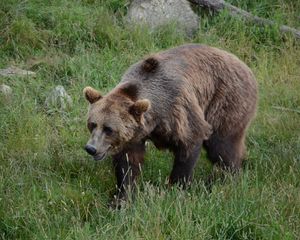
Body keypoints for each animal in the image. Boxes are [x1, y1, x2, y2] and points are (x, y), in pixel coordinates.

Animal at [82, 44, 258, 202]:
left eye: (109, 129)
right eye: (92, 124)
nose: (91, 148)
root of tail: (246, 66)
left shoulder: (178, 110)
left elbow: (189, 144)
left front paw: (176, 189)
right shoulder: (134, 135)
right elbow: (128, 162)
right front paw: (122, 197)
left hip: (226, 100)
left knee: (222, 146)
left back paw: (223, 179)